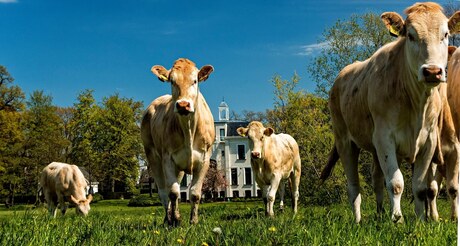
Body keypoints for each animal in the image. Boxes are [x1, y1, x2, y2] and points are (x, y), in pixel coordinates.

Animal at [140, 58, 216, 227]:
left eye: (195, 81)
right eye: (172, 81)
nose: (183, 105)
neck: (188, 128)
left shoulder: (204, 159)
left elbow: (194, 193)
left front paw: (193, 221)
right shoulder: (167, 158)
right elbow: (174, 193)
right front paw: (175, 220)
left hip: (179, 168)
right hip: (153, 157)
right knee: (163, 192)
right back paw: (168, 219)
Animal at [320, 1, 460, 224]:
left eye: (445, 34)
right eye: (410, 35)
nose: (432, 71)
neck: (416, 103)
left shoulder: (429, 143)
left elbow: (421, 187)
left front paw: (421, 220)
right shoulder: (385, 138)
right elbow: (396, 183)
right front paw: (398, 219)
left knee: (377, 179)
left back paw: (379, 213)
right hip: (345, 141)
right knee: (354, 186)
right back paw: (358, 220)